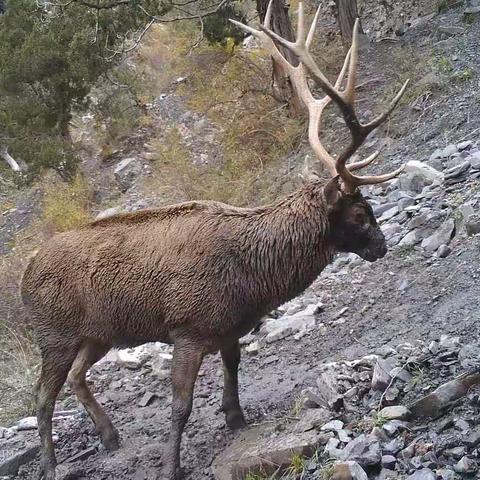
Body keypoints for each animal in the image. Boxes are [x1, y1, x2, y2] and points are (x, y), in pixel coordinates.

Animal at [21, 3, 408, 480]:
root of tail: (24, 275)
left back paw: (111, 437)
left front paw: (235, 417)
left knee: (76, 377)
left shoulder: (229, 327)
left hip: (98, 334)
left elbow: (234, 366)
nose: (382, 246)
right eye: (359, 212)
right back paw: (50, 464)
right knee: (42, 397)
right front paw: (171, 465)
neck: (253, 281)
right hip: (53, 335)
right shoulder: (187, 328)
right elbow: (180, 406)